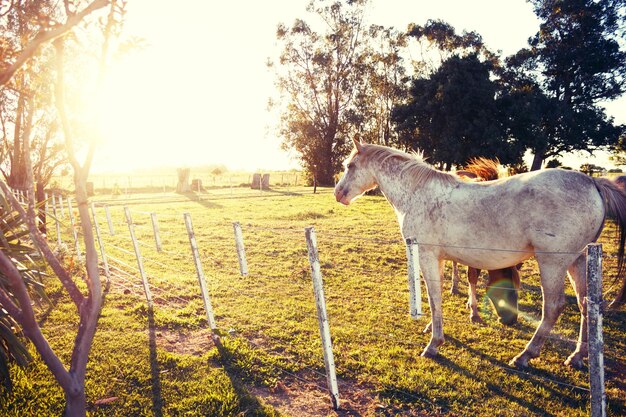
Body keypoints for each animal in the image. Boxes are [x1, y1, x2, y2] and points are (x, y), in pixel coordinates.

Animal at [334, 137, 624, 368]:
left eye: (350, 166)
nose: (338, 194)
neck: (418, 193)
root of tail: (592, 182)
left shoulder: (426, 256)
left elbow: (433, 296)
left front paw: (434, 344)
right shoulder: (438, 259)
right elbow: (439, 295)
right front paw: (432, 327)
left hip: (552, 264)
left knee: (553, 307)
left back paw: (525, 356)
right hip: (578, 261)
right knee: (586, 305)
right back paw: (577, 356)